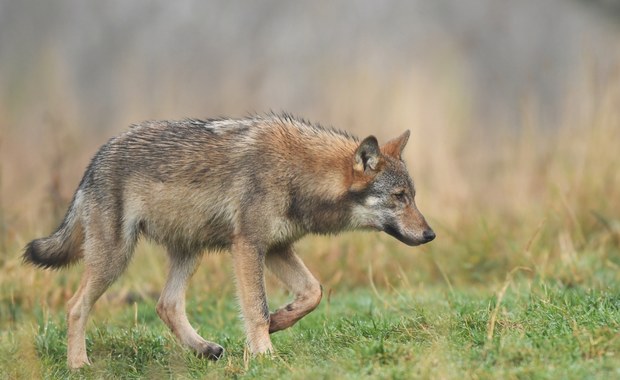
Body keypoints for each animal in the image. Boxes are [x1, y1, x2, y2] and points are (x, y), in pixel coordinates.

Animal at [21, 113, 434, 368]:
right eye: (399, 197)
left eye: (413, 197)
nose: (430, 234)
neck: (300, 175)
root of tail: (94, 161)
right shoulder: (248, 246)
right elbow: (255, 308)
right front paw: (265, 356)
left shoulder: (277, 248)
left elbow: (313, 292)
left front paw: (279, 321)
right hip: (115, 260)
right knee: (76, 306)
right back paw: (79, 364)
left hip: (190, 252)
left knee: (166, 305)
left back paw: (204, 349)